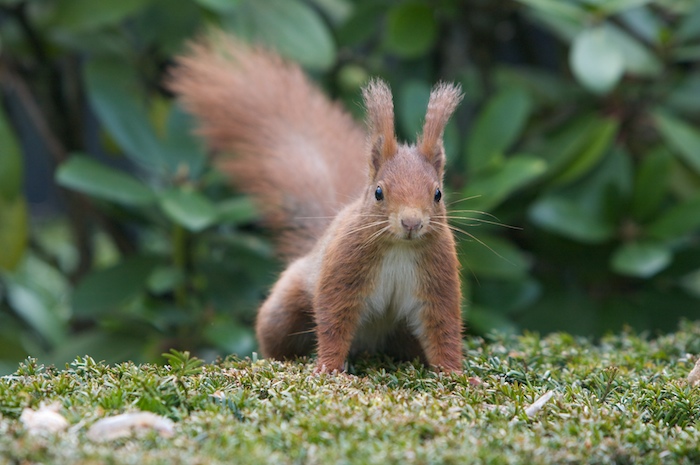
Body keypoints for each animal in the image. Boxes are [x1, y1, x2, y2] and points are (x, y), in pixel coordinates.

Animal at [170, 34, 464, 372]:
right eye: (378, 192)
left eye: (438, 194)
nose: (412, 223)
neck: (399, 247)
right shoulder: (343, 269)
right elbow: (334, 319)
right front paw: (330, 368)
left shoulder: (437, 278)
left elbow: (443, 328)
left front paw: (456, 375)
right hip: (283, 309)